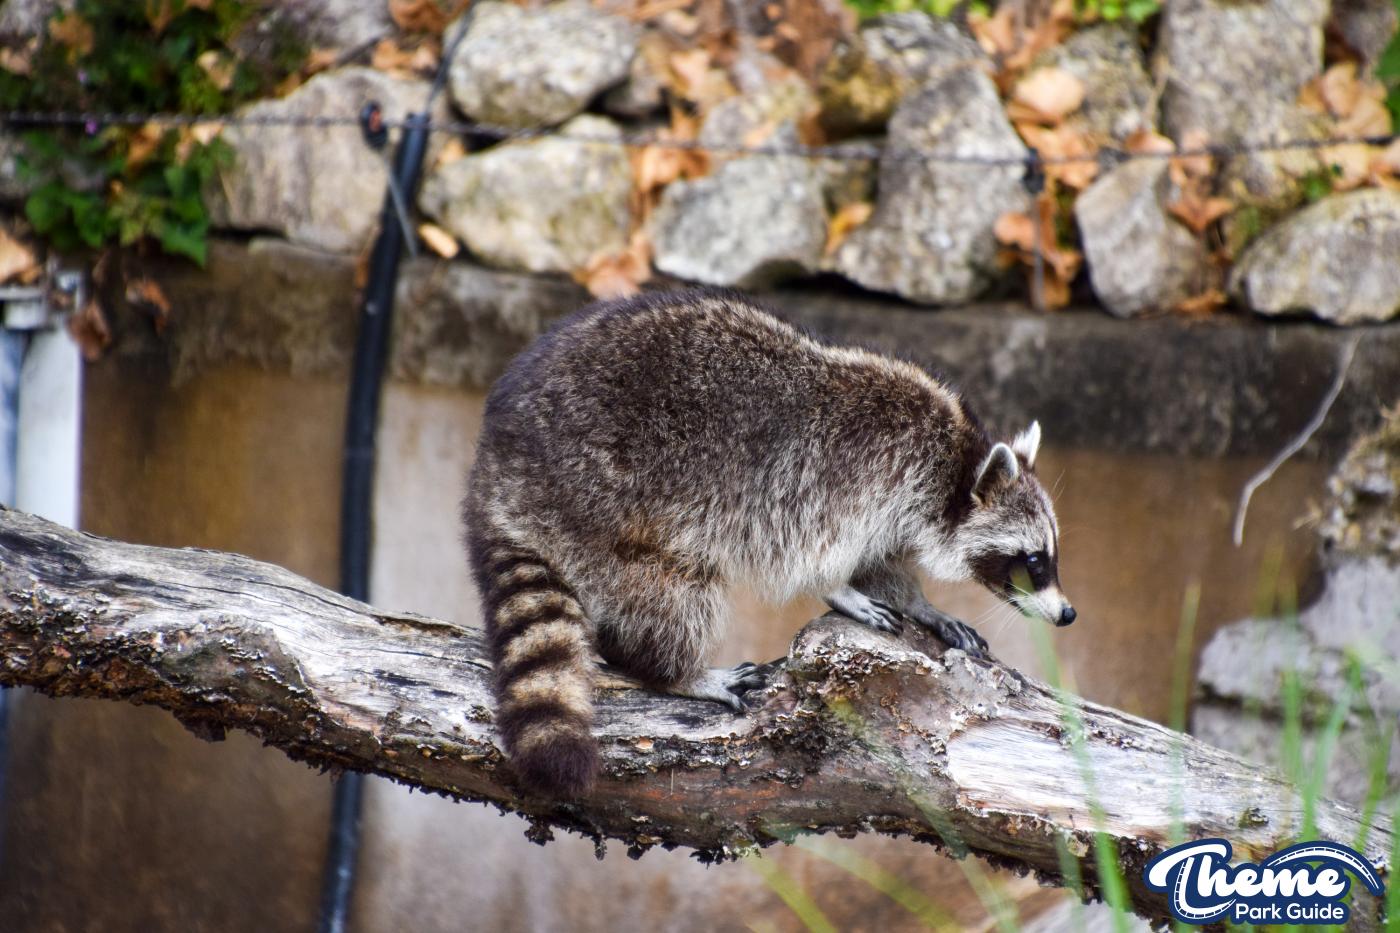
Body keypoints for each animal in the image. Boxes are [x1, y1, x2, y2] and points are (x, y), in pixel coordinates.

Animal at [464, 291, 1073, 797]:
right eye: (1033, 560)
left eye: (1050, 556)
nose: (1067, 615)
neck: (953, 471)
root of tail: (496, 468)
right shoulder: (851, 472)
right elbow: (810, 553)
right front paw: (837, 589)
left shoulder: (894, 509)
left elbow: (882, 560)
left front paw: (920, 603)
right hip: (598, 500)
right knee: (672, 590)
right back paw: (677, 671)